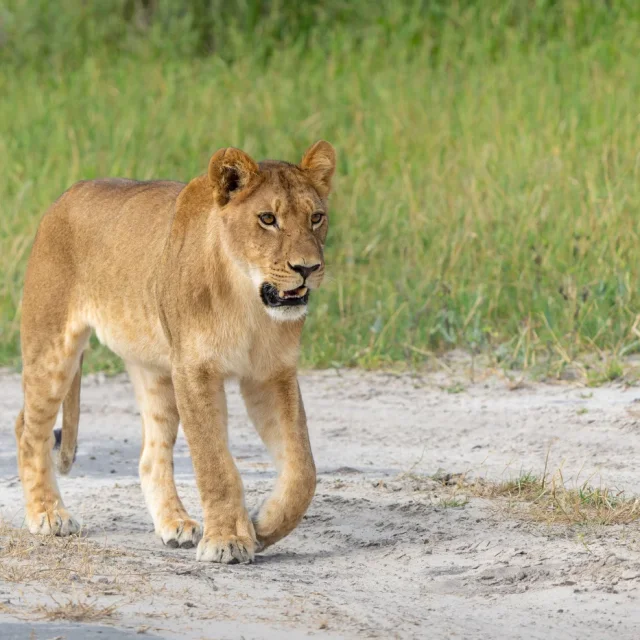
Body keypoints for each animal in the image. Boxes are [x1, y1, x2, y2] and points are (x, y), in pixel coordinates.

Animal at [14, 141, 336, 564]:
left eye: (316, 217)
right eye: (267, 219)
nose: (308, 268)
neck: (247, 301)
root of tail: (65, 196)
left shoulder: (272, 374)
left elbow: (302, 471)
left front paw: (262, 526)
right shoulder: (195, 371)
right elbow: (215, 462)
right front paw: (227, 540)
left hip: (155, 370)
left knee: (151, 457)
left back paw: (175, 524)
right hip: (52, 350)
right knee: (27, 430)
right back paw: (48, 514)